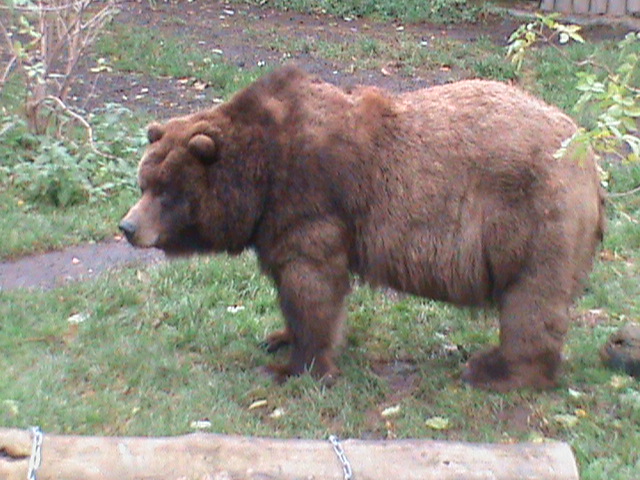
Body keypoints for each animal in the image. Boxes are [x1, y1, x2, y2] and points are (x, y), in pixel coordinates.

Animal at [119, 66, 605, 391]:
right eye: (144, 182)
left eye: (167, 192)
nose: (127, 226)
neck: (262, 175)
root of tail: (588, 155)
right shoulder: (279, 220)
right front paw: (279, 338)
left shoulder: (310, 200)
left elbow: (311, 285)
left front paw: (294, 367)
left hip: (530, 212)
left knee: (531, 297)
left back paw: (495, 370)